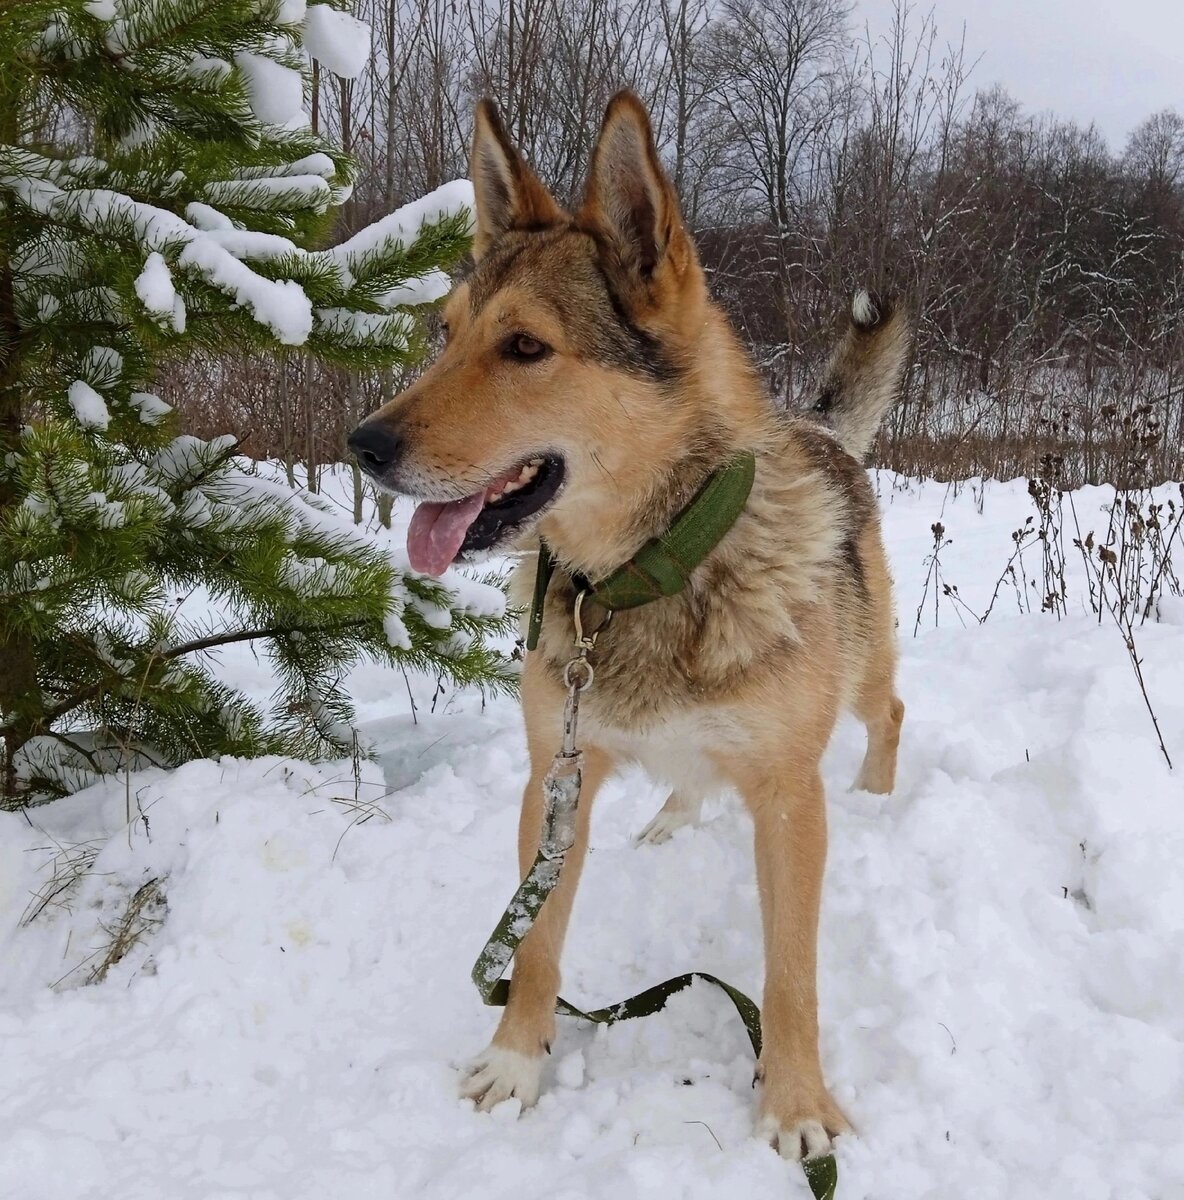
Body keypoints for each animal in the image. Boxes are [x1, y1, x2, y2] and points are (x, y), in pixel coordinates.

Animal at [347, 91, 911, 1161]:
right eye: (444, 334)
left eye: (526, 347)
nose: (362, 445)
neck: (640, 577)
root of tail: (821, 429)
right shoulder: (557, 778)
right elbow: (535, 948)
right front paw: (517, 1062)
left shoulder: (789, 799)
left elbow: (790, 976)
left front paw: (796, 1102)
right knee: (695, 776)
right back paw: (671, 817)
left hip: (858, 676)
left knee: (890, 712)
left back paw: (878, 795)